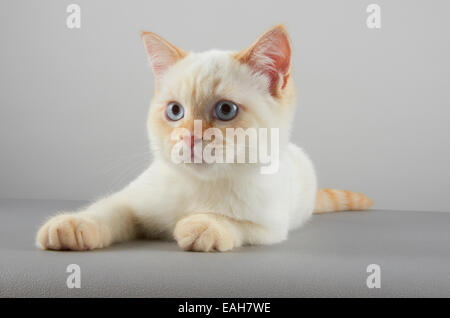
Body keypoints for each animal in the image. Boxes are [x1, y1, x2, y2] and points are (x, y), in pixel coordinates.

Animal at [36, 24, 372, 252]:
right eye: (174, 111)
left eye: (225, 110)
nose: (189, 137)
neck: (199, 185)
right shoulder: (133, 200)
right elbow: (110, 209)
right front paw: (74, 223)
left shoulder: (269, 227)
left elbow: (236, 224)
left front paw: (204, 225)